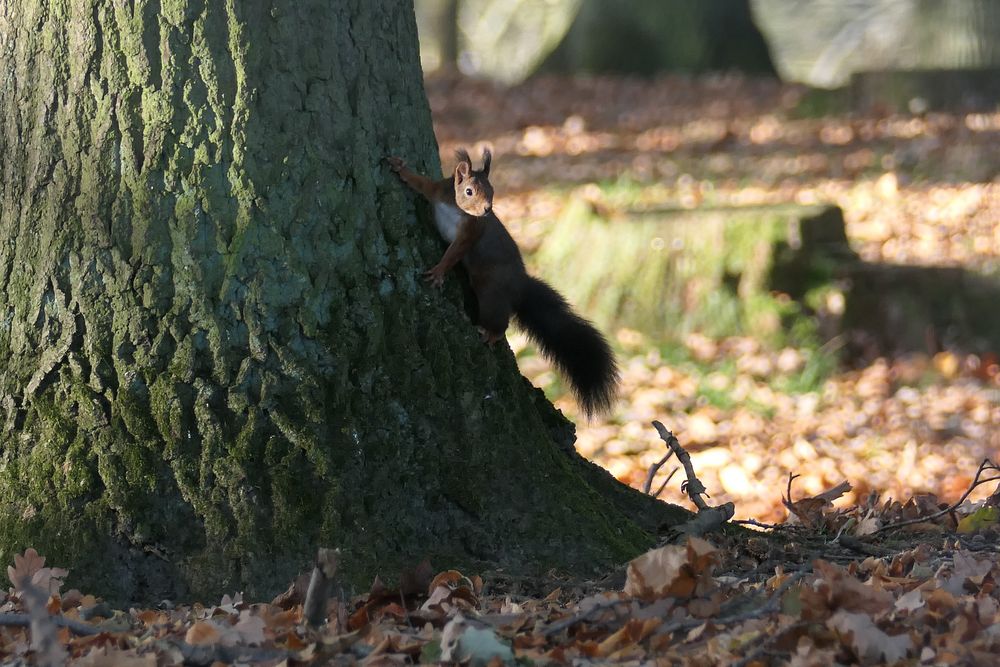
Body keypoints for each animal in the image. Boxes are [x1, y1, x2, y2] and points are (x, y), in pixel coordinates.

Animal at [388, 150, 616, 418]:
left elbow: (455, 253)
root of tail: (519, 287)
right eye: (469, 191)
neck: (455, 208)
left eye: (492, 190)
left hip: (491, 295)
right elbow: (420, 183)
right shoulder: (437, 191)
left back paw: (491, 333)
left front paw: (439, 272)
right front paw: (399, 167)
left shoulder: (471, 232)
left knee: (500, 322)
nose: (487, 209)